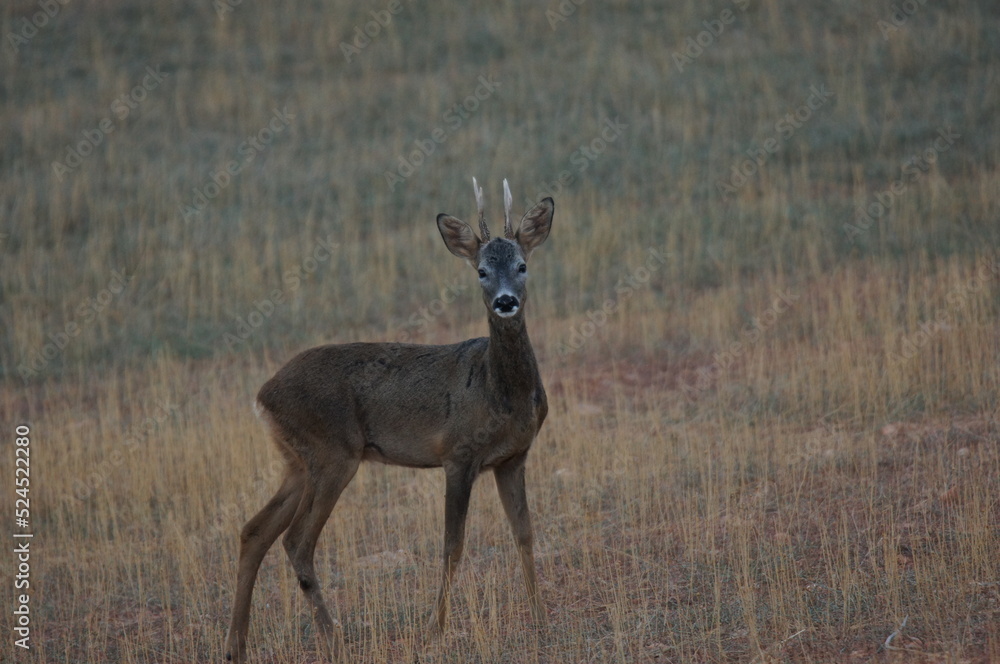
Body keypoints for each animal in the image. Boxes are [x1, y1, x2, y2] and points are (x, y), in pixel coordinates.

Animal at [225, 178, 554, 662]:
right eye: (480, 271)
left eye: (522, 265)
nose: (506, 301)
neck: (499, 392)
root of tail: (262, 396)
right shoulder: (458, 454)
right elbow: (452, 545)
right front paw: (435, 629)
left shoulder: (513, 457)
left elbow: (525, 534)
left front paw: (539, 616)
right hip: (332, 453)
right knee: (296, 540)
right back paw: (333, 636)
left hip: (297, 461)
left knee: (254, 531)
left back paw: (237, 645)